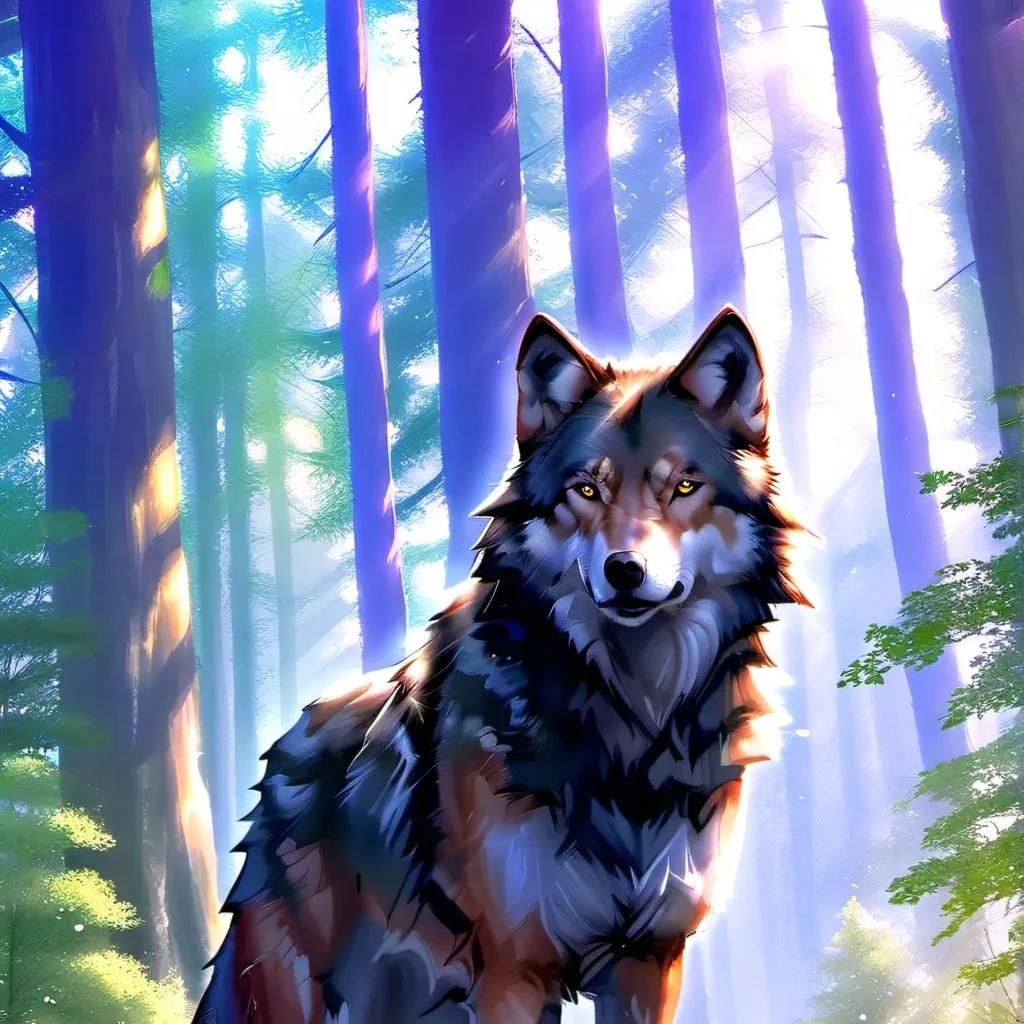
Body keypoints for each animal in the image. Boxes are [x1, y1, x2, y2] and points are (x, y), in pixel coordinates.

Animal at [193, 306, 807, 1024]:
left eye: (684, 486)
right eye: (586, 489)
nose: (624, 571)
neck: (632, 724)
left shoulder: (651, 962)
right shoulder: (513, 968)